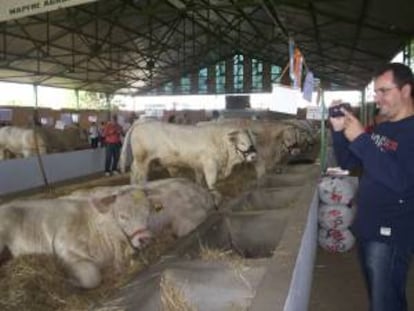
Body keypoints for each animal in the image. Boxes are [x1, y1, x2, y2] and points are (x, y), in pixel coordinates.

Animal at [0, 190, 152, 290]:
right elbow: (92, 277)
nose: (144, 238)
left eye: (148, 213)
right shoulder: (63, 247)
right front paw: (71, 281)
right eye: (123, 216)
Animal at [118, 121, 258, 193]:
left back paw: (132, 185)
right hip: (143, 159)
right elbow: (211, 182)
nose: (253, 156)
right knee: (141, 176)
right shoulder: (210, 165)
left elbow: (200, 180)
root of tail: (142, 122)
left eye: (251, 141)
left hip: (140, 160)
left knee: (133, 171)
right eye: (242, 143)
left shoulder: (199, 166)